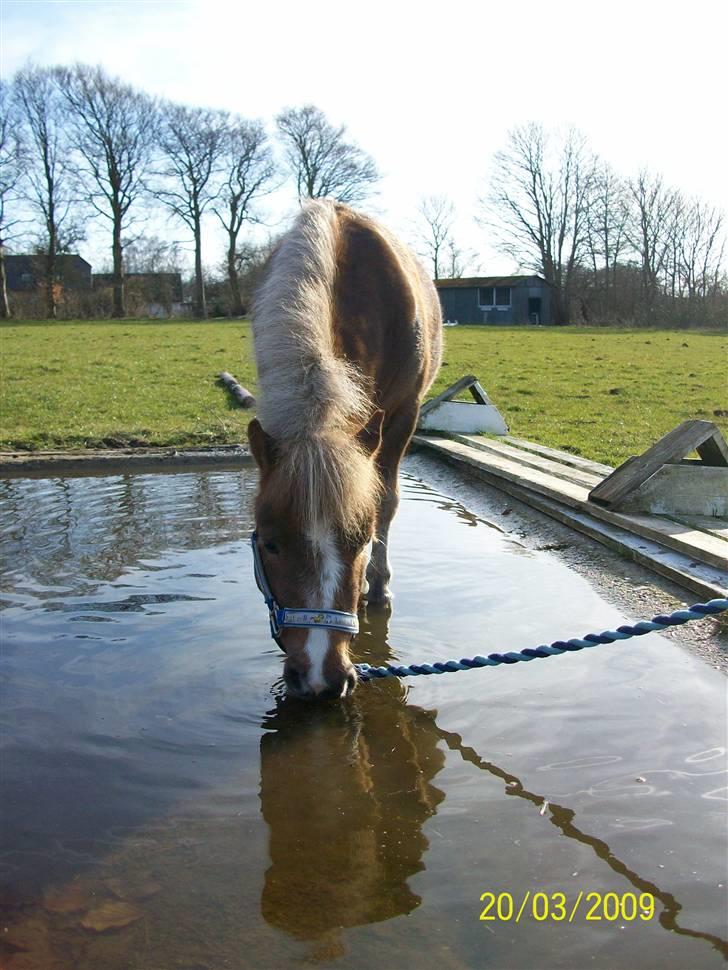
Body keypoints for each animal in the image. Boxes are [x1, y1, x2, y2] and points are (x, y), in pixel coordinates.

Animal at [247, 199, 440, 696]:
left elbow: (387, 501)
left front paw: (380, 588)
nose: (319, 678)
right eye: (270, 543)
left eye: (361, 541)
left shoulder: (403, 415)